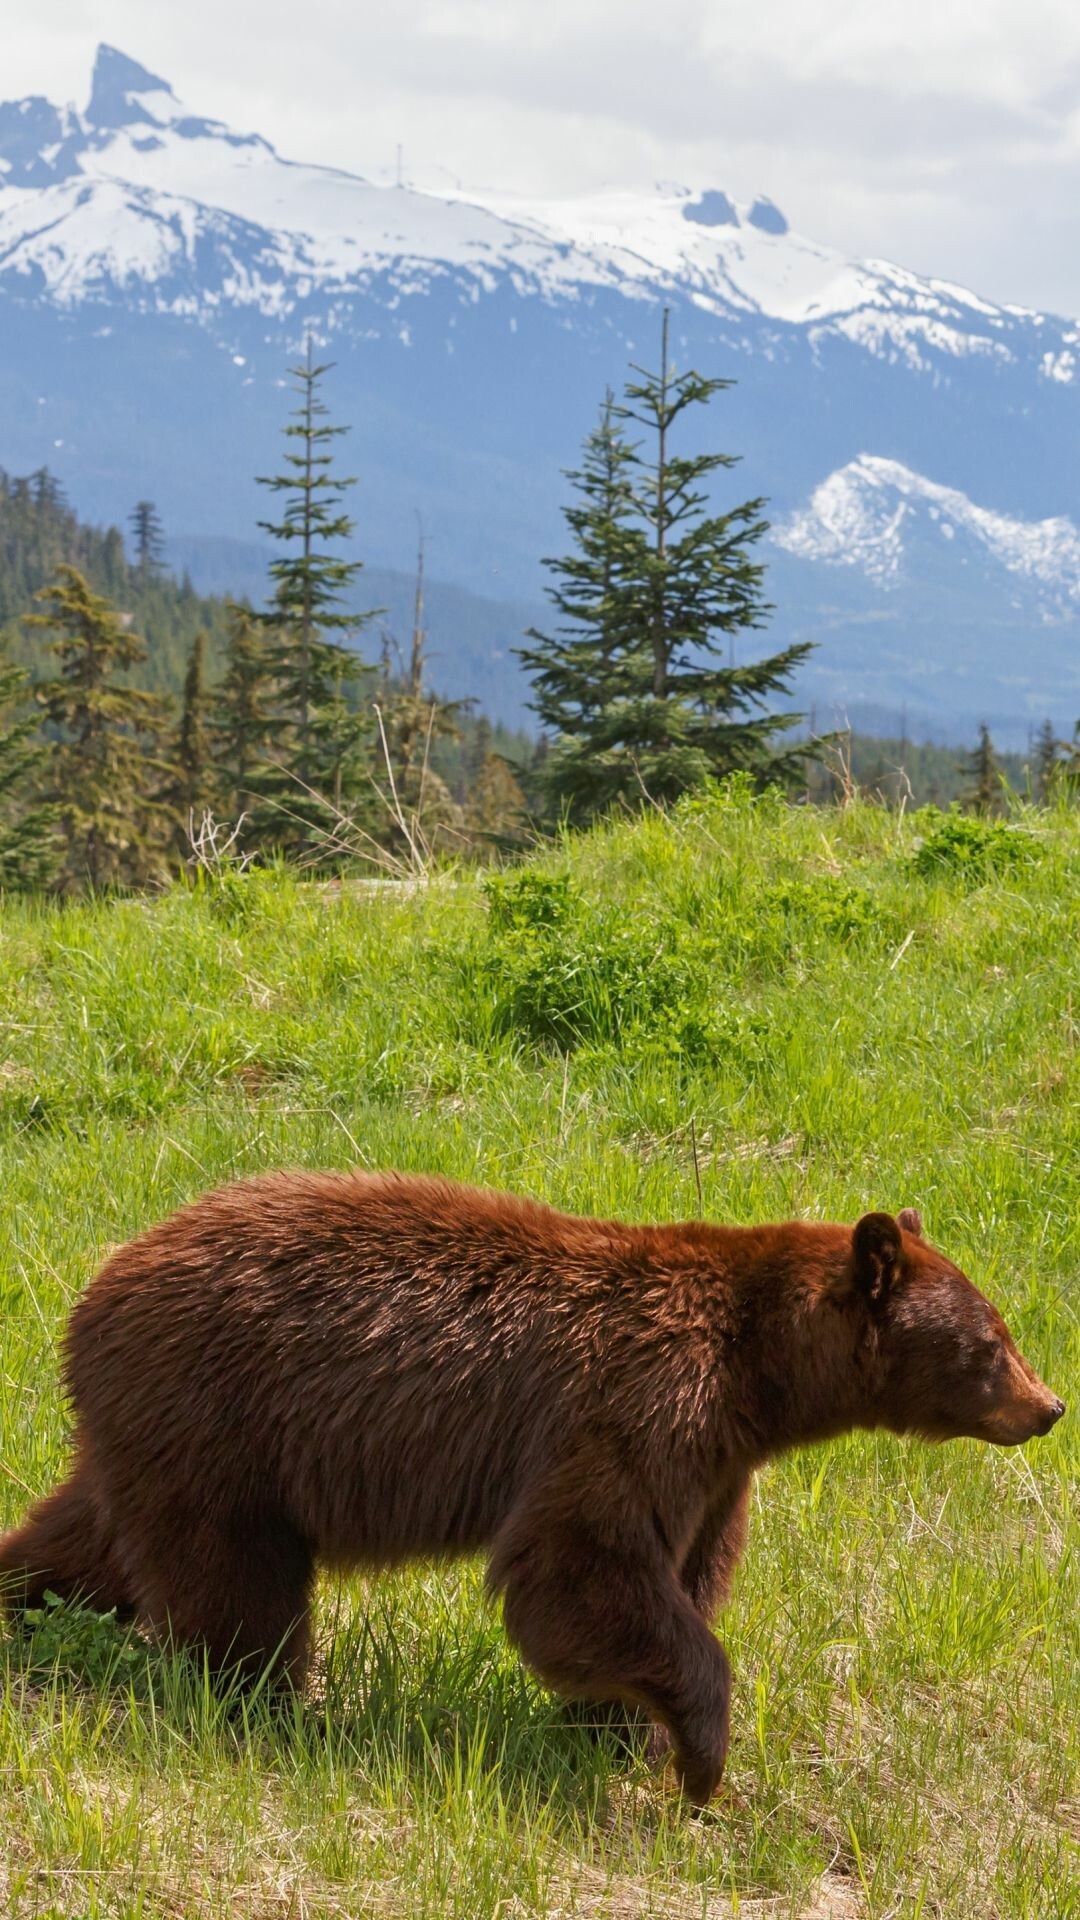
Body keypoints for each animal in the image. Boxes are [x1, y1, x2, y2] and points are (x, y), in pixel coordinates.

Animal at [0, 1172, 1064, 1803]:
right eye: (991, 1342)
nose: (1050, 1406)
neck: (758, 1375)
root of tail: (99, 1286)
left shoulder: (717, 1465)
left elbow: (681, 1576)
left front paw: (617, 1735)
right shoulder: (639, 1402)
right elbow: (580, 1564)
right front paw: (699, 1758)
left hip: (151, 1435)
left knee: (86, 1541)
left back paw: (25, 1618)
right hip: (222, 1424)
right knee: (234, 1591)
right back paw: (269, 1711)